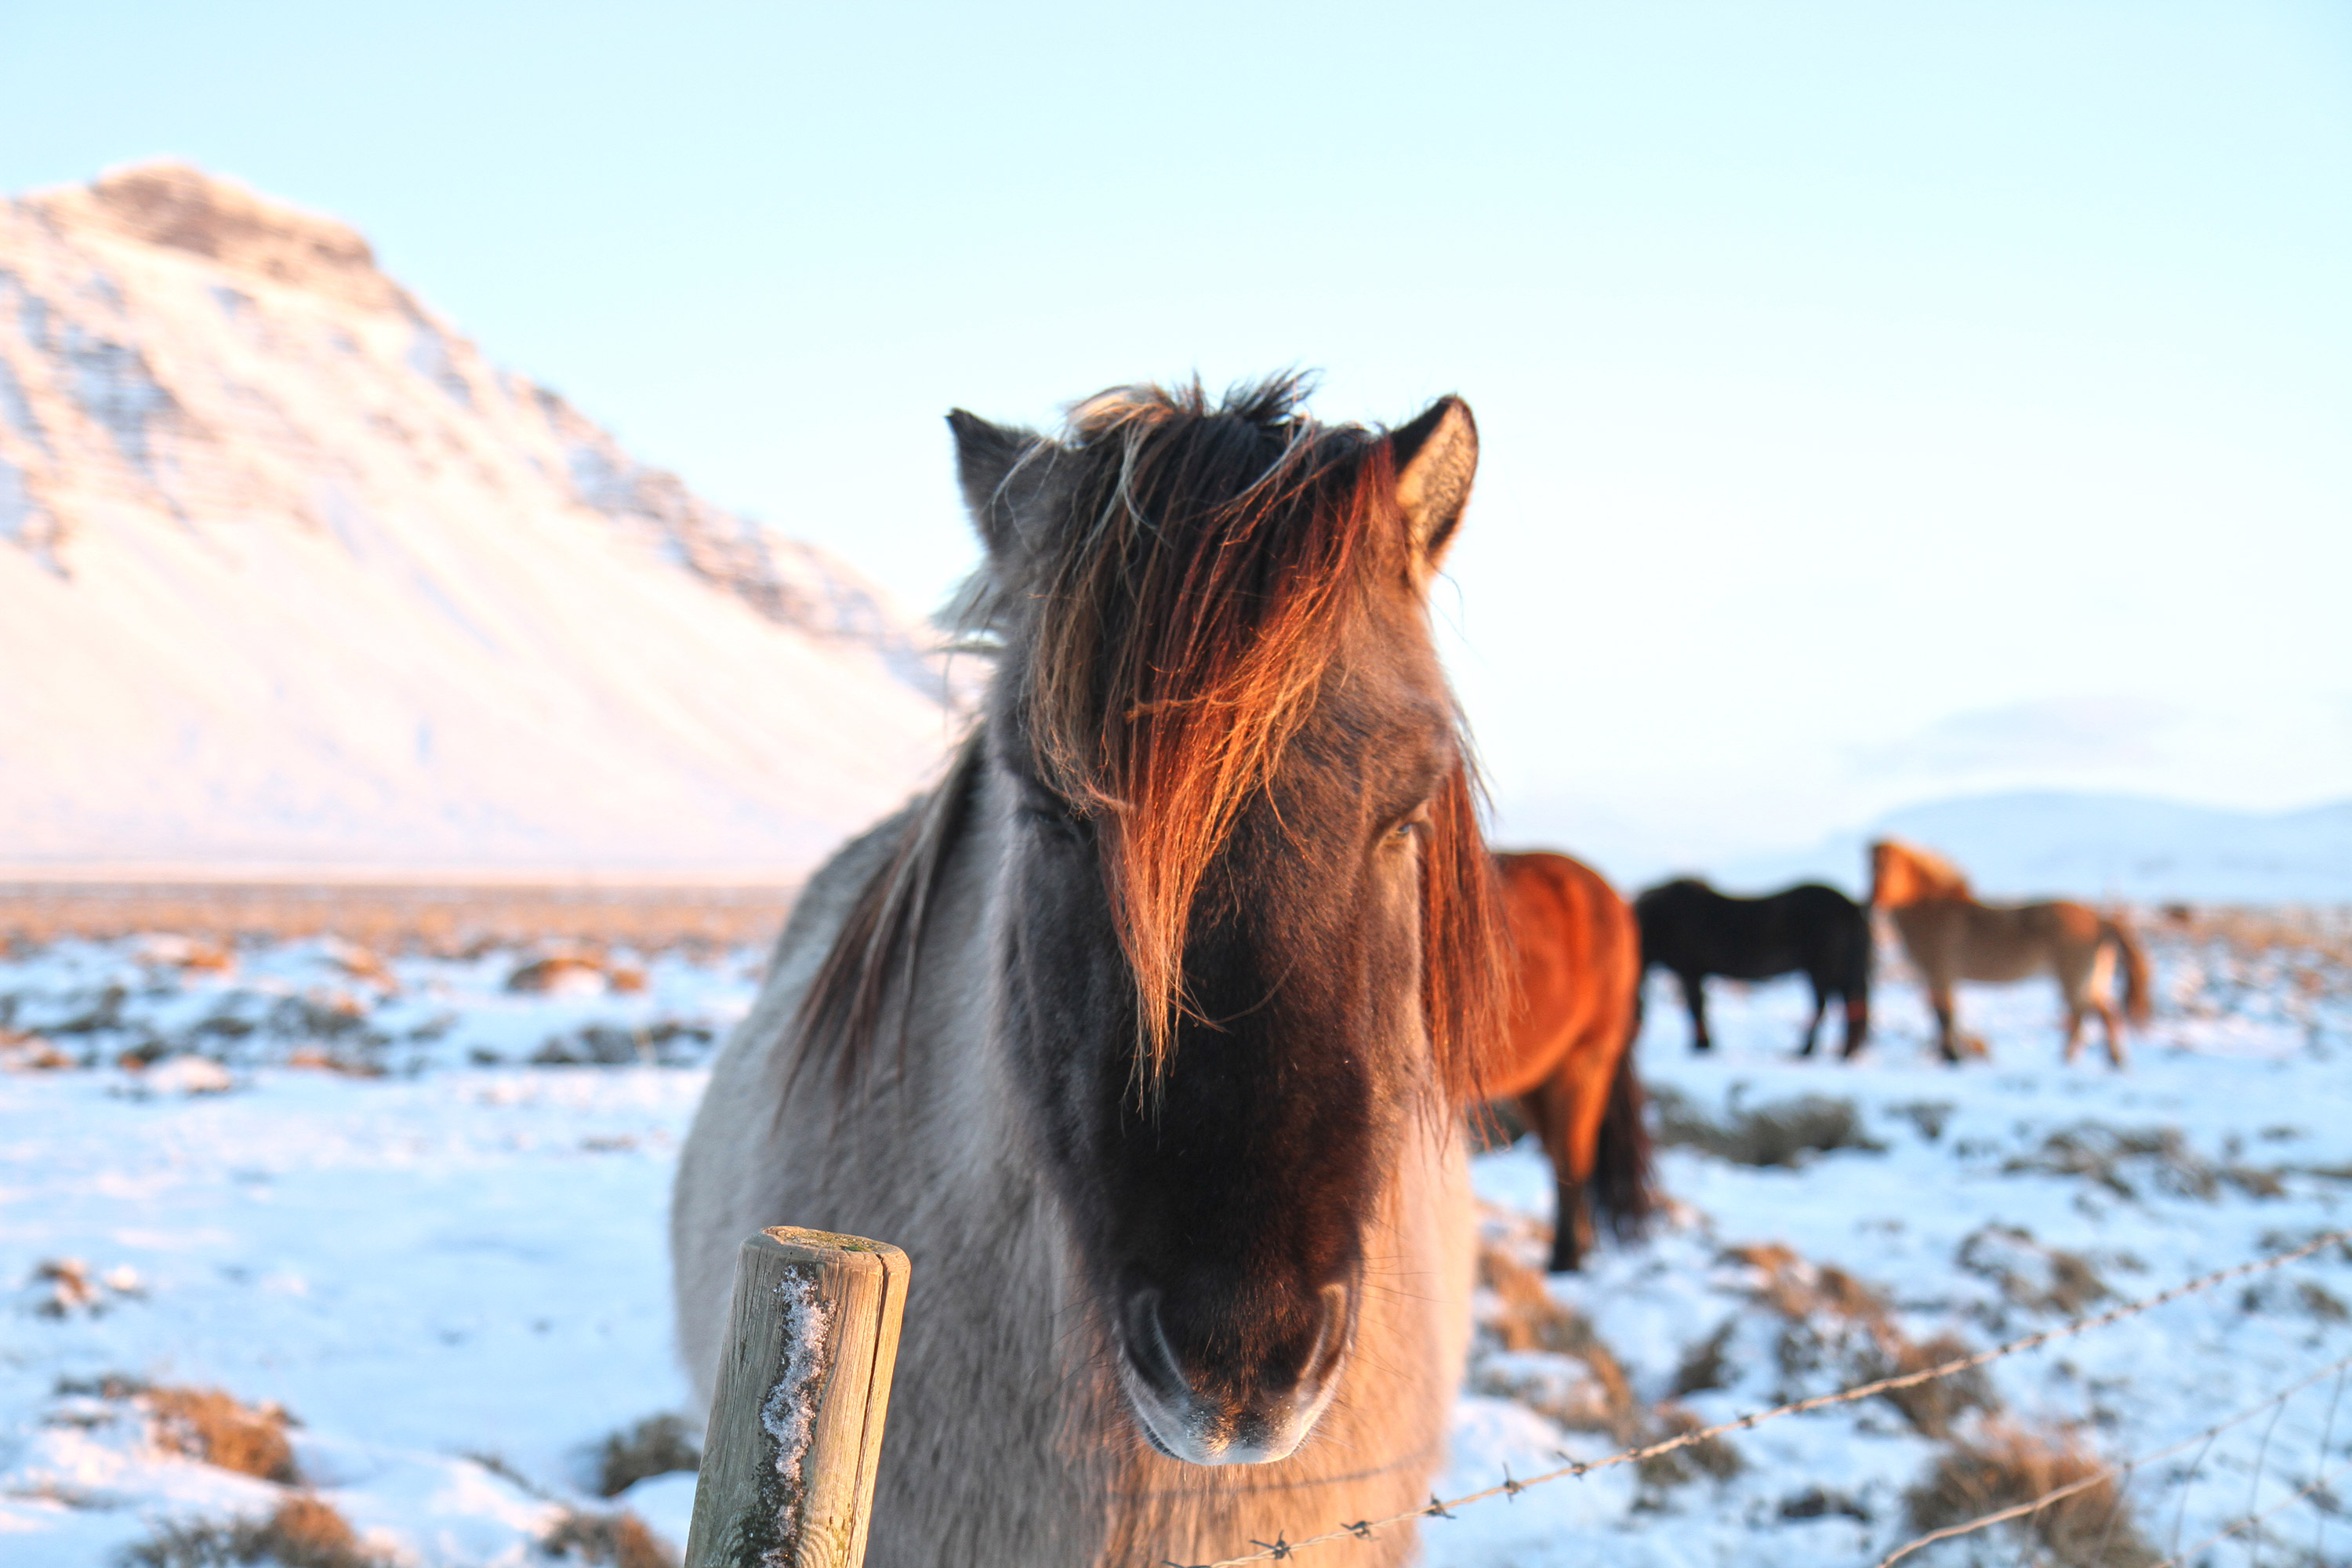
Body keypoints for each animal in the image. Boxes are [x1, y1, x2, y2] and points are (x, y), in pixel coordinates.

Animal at [1637, 879, 1872, 1062]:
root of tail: (1852, 907)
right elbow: (1699, 1008)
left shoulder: (1690, 972)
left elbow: (1696, 1008)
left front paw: (1701, 1047)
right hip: (1836, 971)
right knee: (1848, 1005)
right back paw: (1841, 1053)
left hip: (1822, 970)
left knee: (1825, 1005)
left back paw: (1805, 1051)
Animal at [1872, 832, 2154, 1067]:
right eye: (1871, 866)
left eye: (1893, 867)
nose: (1875, 900)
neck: (1932, 910)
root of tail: (2100, 920)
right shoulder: (1935, 978)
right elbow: (1942, 1017)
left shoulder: (1940, 975)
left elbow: (1945, 1017)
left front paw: (1952, 1058)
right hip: (2092, 980)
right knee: (2101, 1014)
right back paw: (2106, 1061)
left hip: (2075, 981)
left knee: (2089, 1015)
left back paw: (2075, 1059)